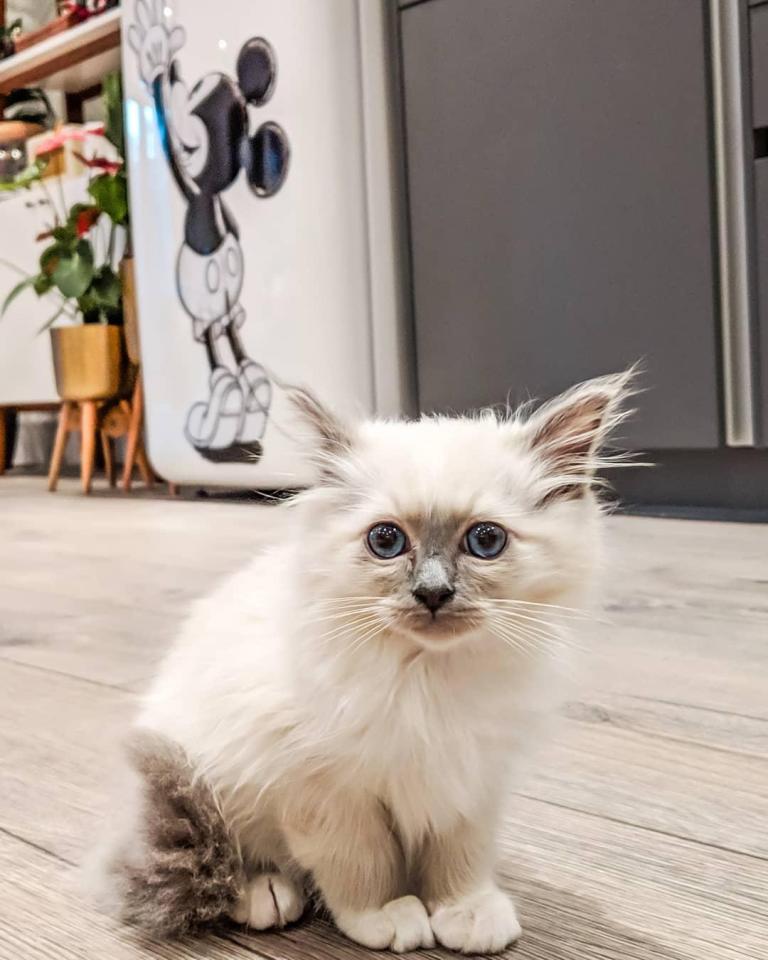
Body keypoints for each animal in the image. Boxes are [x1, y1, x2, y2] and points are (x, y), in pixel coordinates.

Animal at [97, 370, 632, 952]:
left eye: (486, 541)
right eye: (386, 540)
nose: (433, 594)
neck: (428, 679)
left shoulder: (470, 779)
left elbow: (460, 860)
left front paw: (464, 912)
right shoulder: (328, 790)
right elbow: (363, 863)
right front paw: (387, 916)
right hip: (207, 772)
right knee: (232, 851)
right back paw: (265, 893)